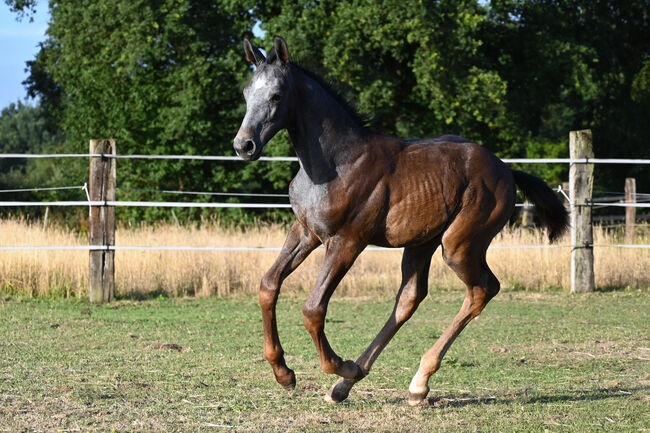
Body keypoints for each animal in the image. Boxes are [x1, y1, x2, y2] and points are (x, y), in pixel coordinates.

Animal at [233, 35, 568, 404]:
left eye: (277, 95)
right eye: (247, 93)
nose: (243, 145)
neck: (335, 163)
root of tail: (507, 171)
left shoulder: (348, 241)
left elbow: (313, 309)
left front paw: (339, 365)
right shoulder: (306, 232)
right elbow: (268, 285)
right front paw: (284, 373)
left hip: (459, 245)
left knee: (483, 288)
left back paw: (411, 379)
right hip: (422, 243)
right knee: (409, 299)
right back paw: (350, 386)